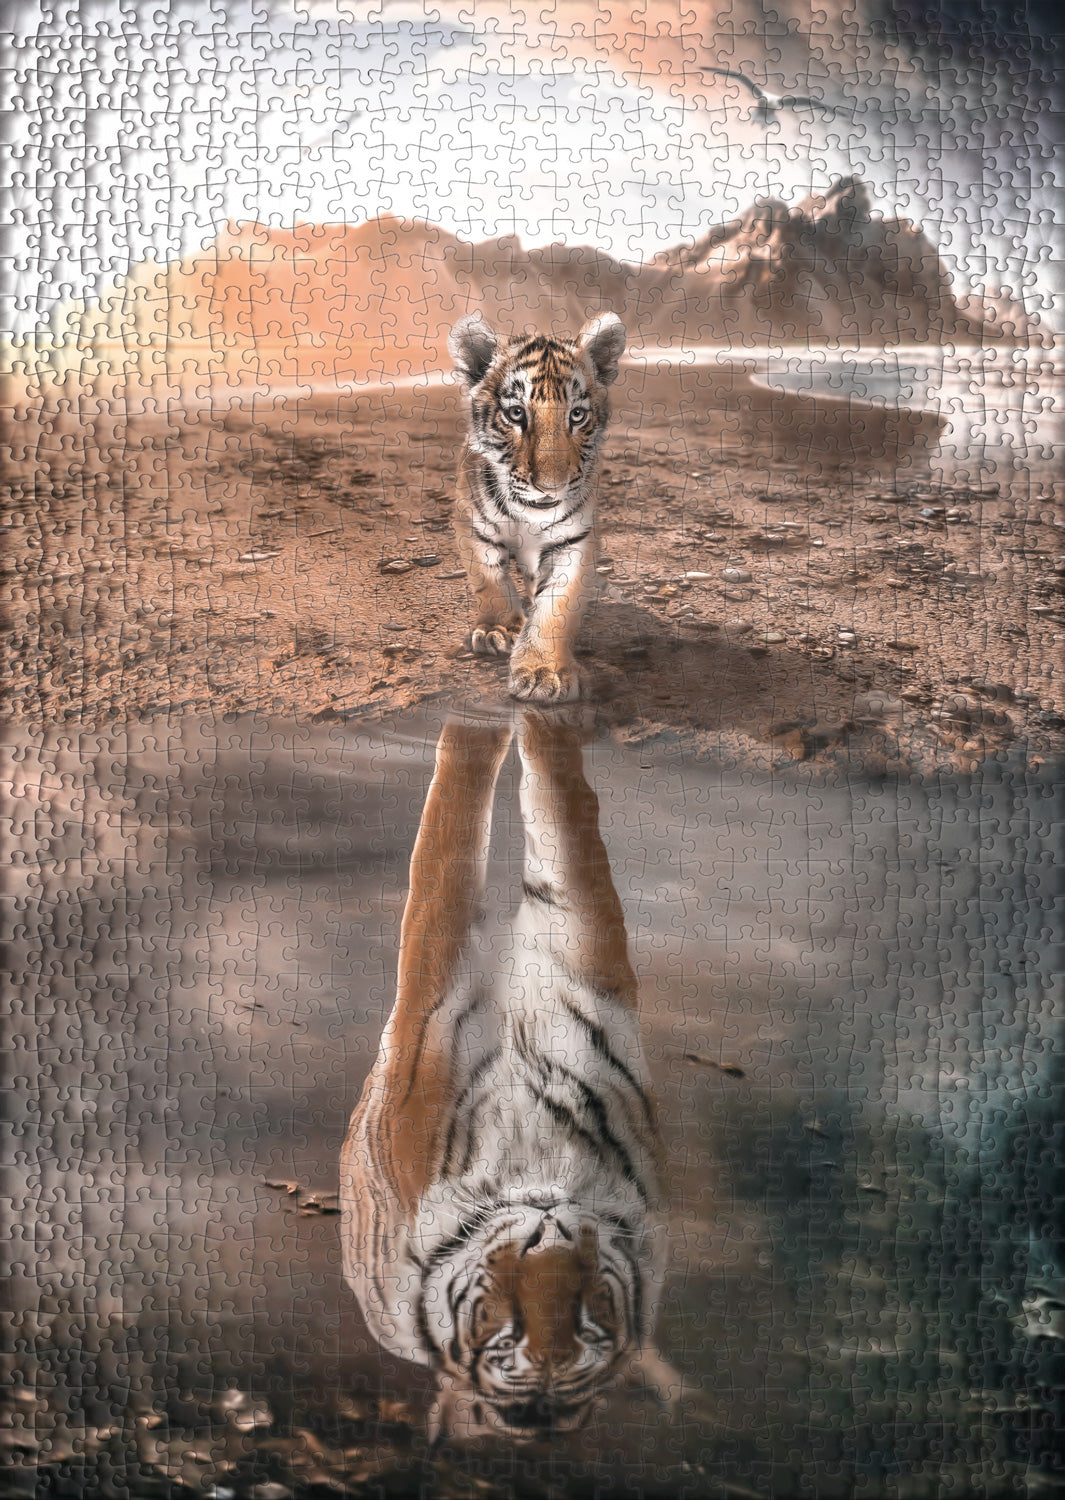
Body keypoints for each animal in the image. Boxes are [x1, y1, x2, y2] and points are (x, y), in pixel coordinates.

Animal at [339, 711, 663, 1443]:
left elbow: (561, 806)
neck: (539, 1161)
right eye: (502, 1335)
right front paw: (494, 708)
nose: (554, 1256)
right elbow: (450, 844)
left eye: (590, 1325)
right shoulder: (432, 1013)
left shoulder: (581, 938)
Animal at [447, 313, 627, 704]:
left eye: (577, 415)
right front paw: (497, 630)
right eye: (516, 414)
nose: (551, 486)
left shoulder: (575, 542)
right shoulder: (473, 526)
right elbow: (489, 580)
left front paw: (544, 672)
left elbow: (555, 607)